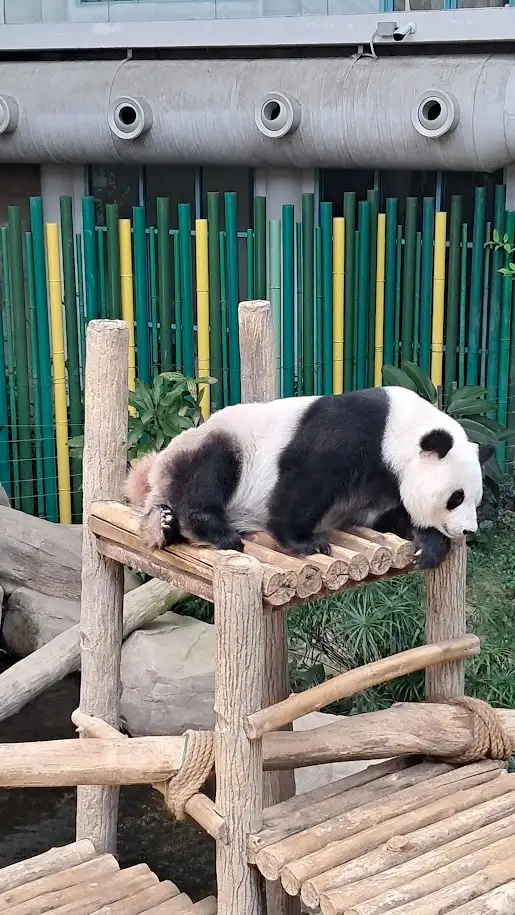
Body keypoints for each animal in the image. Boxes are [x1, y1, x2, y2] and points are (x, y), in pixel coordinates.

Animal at [124, 385, 493, 570]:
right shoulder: (353, 430)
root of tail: (152, 472)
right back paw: (209, 529)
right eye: (456, 497)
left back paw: (165, 526)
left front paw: (428, 545)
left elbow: (386, 516)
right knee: (208, 473)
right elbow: (306, 480)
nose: (467, 531)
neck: (401, 428)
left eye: (475, 500)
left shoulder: (382, 488)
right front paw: (304, 542)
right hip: (220, 441)